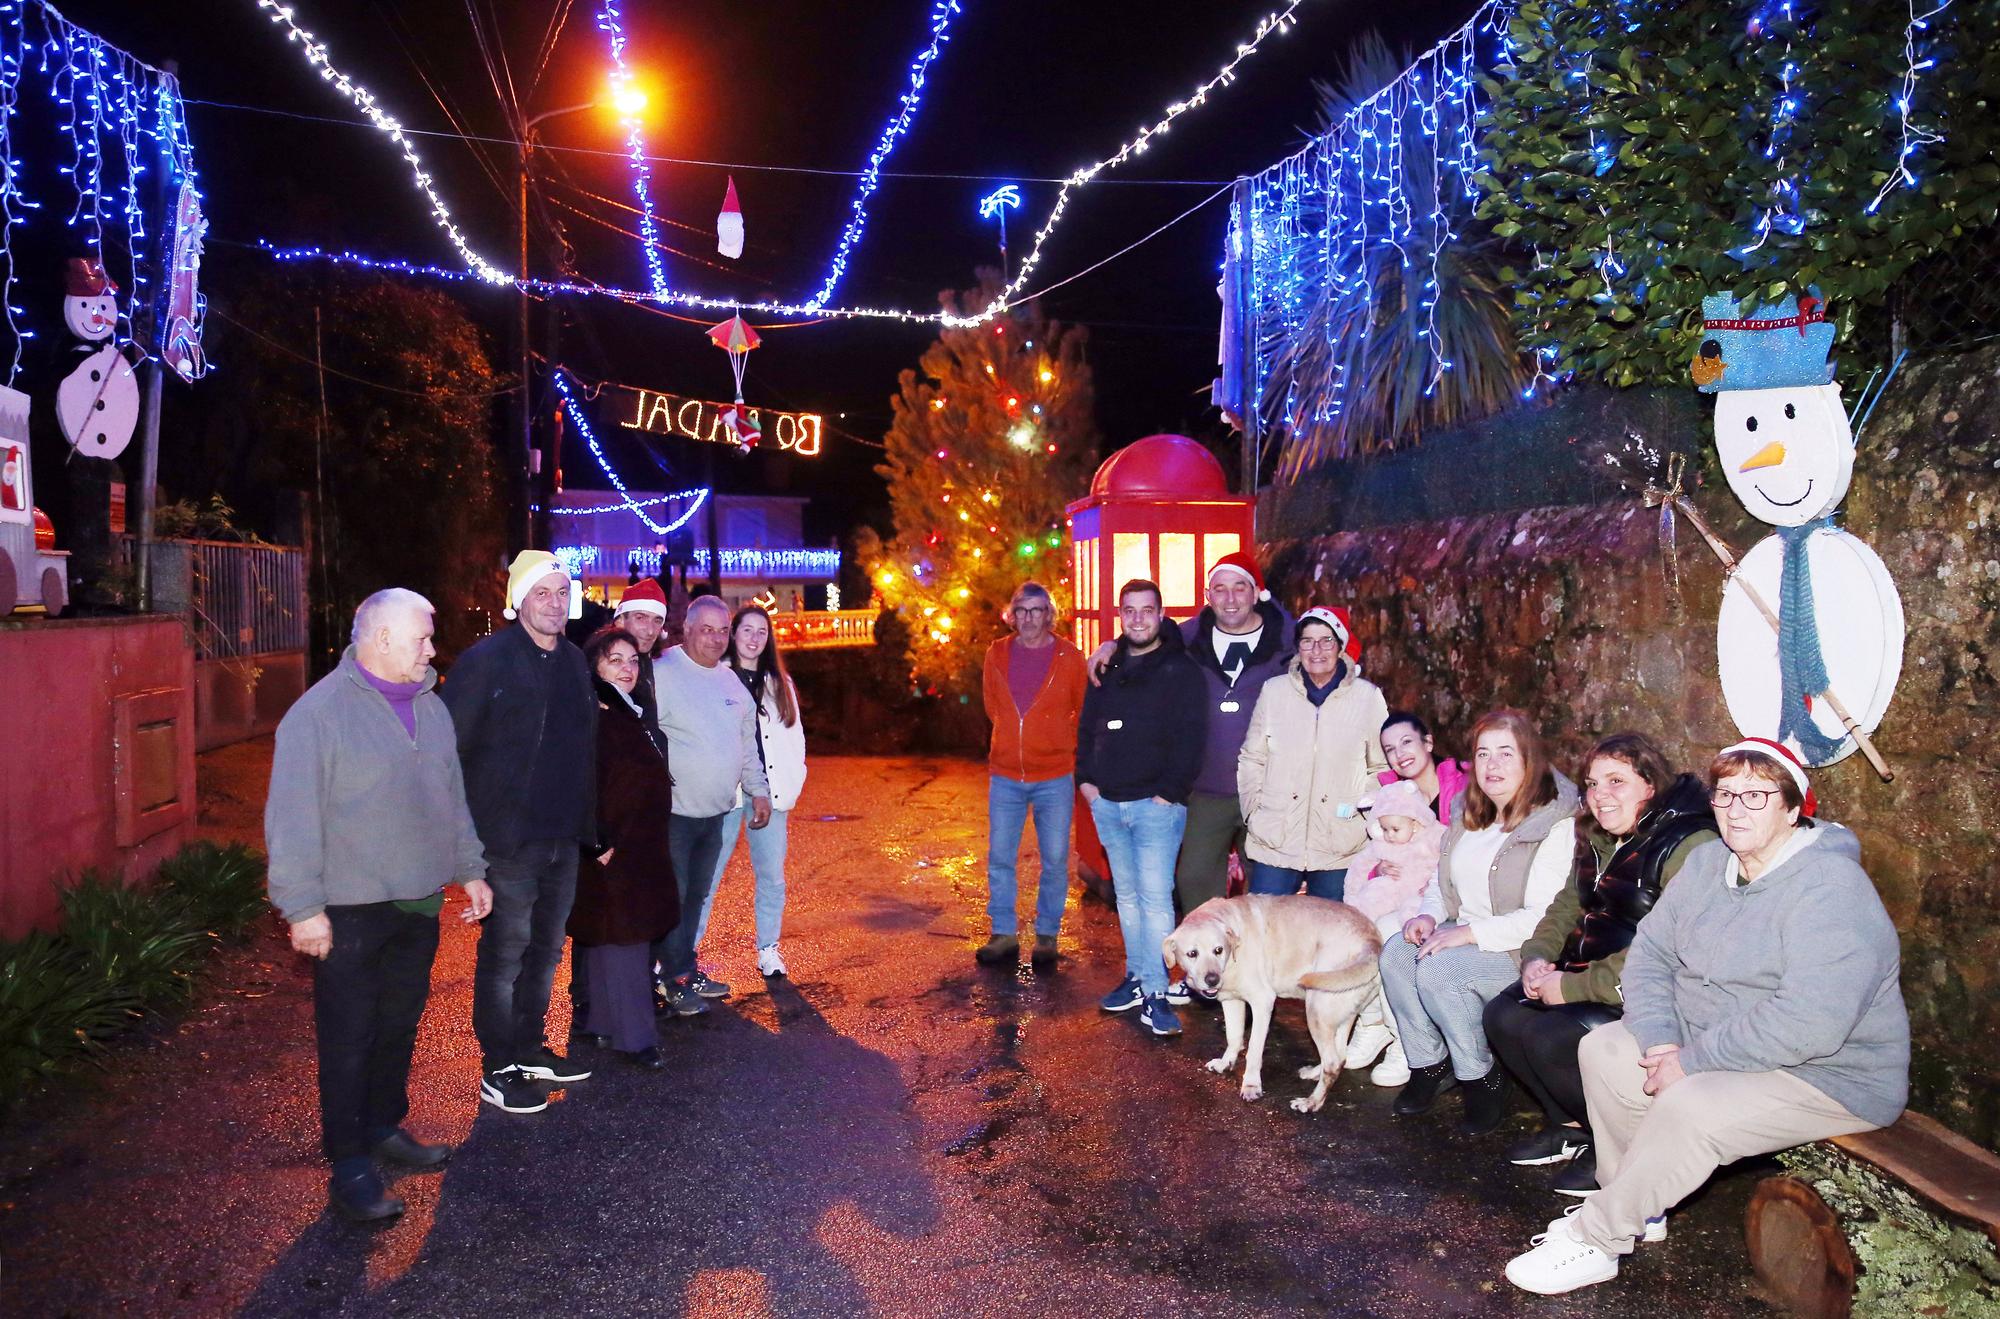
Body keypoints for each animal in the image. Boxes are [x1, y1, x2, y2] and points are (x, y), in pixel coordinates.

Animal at [1168, 895, 1384, 1111]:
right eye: (1192, 954)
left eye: (1218, 950)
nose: (1212, 980)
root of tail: (1373, 944)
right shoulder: (1231, 1001)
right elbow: (1234, 1037)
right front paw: (1226, 1062)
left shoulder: (1262, 1002)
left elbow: (1254, 1051)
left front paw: (1251, 1085)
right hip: (1339, 1016)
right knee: (1340, 1057)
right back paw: (1315, 1074)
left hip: (1316, 1011)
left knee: (1332, 1062)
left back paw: (1312, 1102)